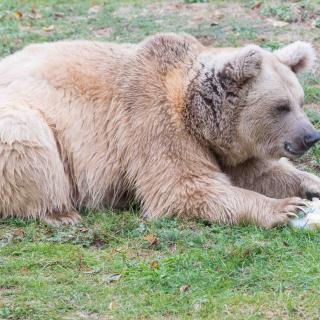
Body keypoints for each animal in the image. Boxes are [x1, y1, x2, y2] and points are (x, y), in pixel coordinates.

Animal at [0, 33, 318, 228]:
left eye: (300, 101)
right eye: (281, 106)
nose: (311, 136)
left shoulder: (227, 149)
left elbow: (261, 173)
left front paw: (310, 184)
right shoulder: (153, 123)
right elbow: (184, 188)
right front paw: (286, 208)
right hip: (24, 121)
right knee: (29, 144)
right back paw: (61, 213)